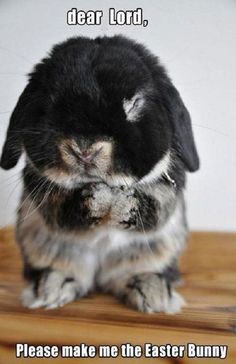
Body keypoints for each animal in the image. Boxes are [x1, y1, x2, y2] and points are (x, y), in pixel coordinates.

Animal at [0, 34, 199, 312]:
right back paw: (51, 289)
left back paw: (154, 295)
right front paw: (100, 200)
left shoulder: (168, 188)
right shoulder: (41, 189)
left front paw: (119, 203)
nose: (84, 150)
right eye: (50, 102)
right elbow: (62, 209)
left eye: (134, 104)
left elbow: (155, 208)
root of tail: (99, 275)